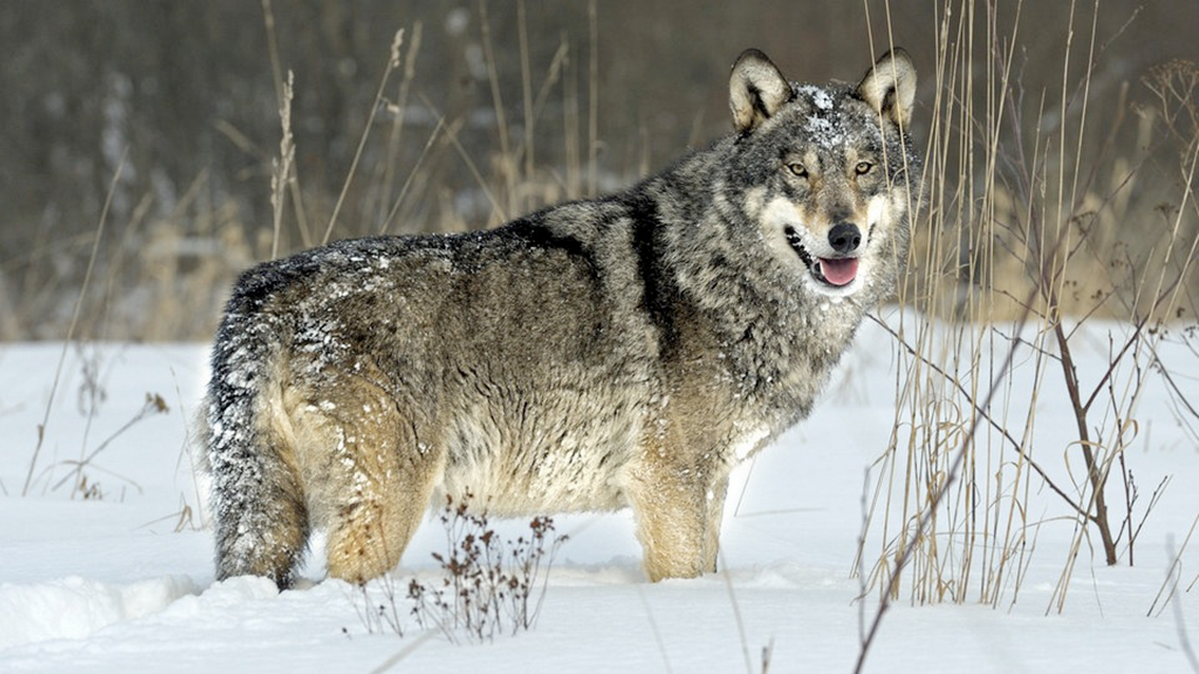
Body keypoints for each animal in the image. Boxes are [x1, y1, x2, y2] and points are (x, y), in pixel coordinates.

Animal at [203, 47, 916, 585]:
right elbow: (686, 577)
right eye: (798, 169)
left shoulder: (708, 482)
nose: (845, 236)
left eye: (864, 168)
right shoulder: (670, 480)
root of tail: (262, 287)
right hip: (386, 507)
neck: (719, 272)